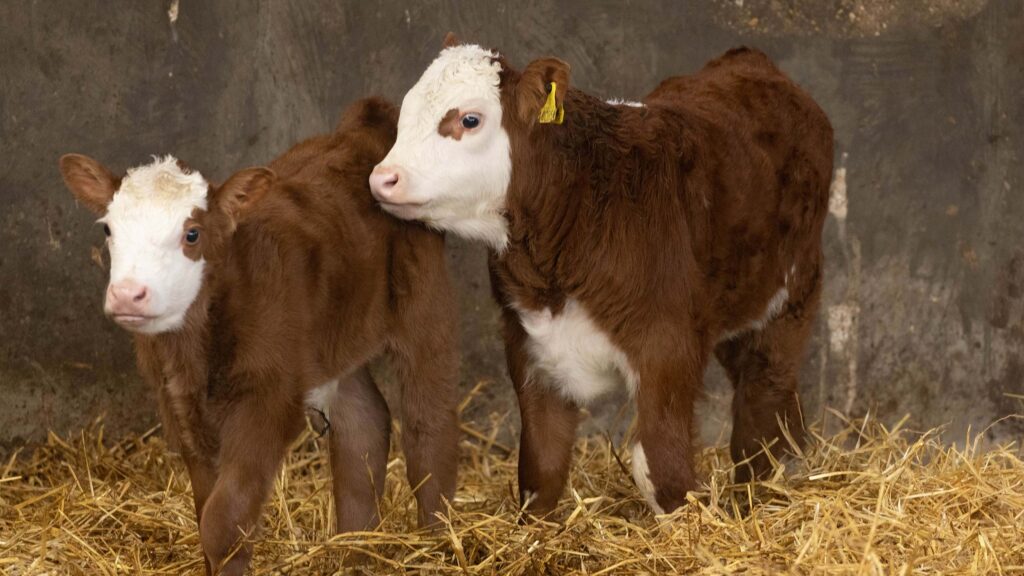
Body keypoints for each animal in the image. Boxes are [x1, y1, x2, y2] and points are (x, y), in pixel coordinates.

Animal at [59, 98, 460, 574]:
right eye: (108, 229)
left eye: (192, 234)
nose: (128, 294)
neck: (196, 352)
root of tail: (364, 128)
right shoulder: (179, 404)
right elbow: (205, 510)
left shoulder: (268, 398)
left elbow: (223, 518)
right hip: (331, 336)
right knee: (363, 421)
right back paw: (353, 547)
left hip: (423, 303)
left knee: (428, 420)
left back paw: (436, 541)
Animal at [369, 36, 833, 516]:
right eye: (405, 112)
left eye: (469, 119)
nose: (383, 178)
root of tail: (749, 60)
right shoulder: (527, 341)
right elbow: (541, 461)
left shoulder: (667, 345)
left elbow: (659, 467)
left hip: (794, 292)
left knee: (767, 386)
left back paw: (760, 485)